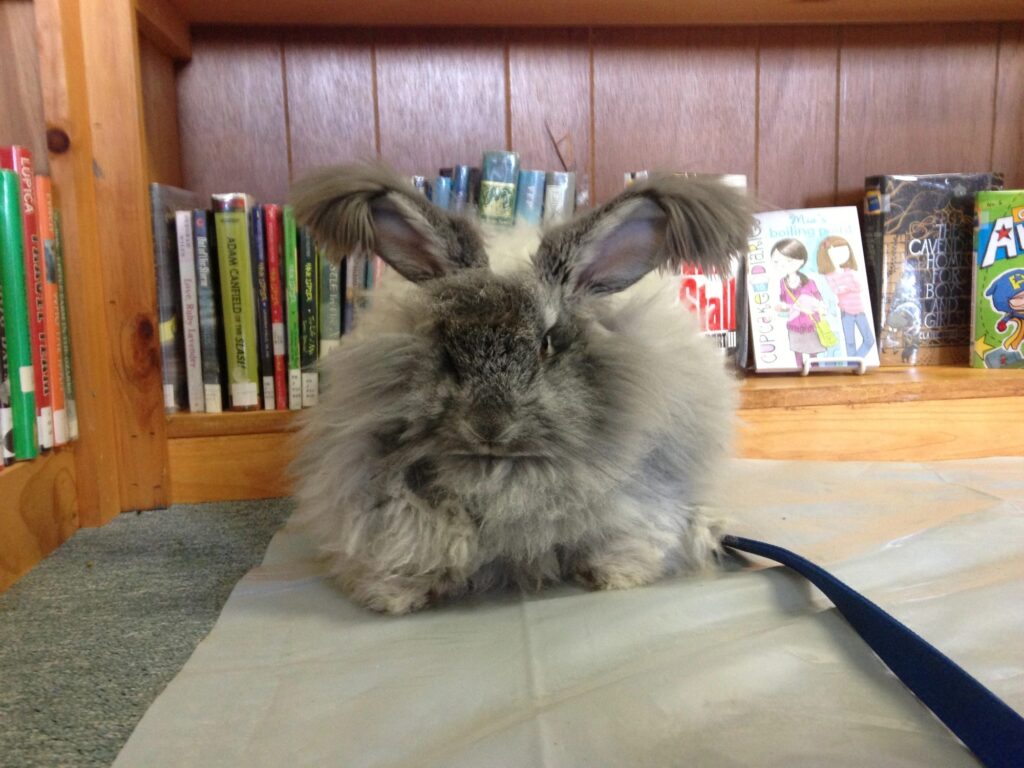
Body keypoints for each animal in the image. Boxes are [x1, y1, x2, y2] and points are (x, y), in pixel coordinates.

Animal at [288, 165, 753, 618]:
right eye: (445, 343)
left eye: (547, 343)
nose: (488, 426)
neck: (503, 473)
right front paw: (393, 597)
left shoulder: (639, 503)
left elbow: (627, 536)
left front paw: (616, 575)